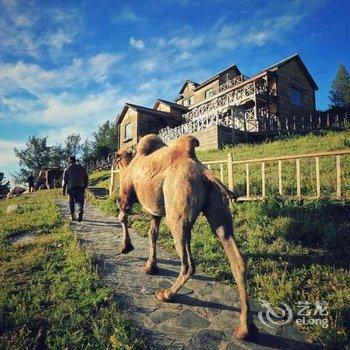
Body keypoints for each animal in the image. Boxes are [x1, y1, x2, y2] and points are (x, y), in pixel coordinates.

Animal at [115, 133, 258, 340]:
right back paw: (245, 328)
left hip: (177, 214)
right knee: (235, 256)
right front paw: (150, 267)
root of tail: (205, 174)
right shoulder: (156, 211)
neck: (130, 164)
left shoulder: (127, 194)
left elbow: (123, 215)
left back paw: (166, 294)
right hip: (218, 210)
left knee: (188, 263)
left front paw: (126, 247)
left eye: (117, 156)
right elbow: (152, 233)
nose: (115, 159)